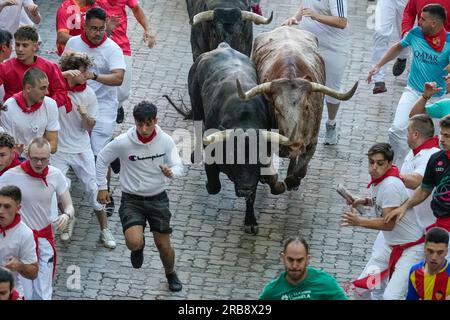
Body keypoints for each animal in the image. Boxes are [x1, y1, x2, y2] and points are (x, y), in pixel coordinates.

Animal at [188, 42, 286, 234]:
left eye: (258, 159)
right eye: (234, 156)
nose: (245, 188)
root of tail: (223, 46)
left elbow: (252, 196)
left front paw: (250, 221)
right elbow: (214, 186)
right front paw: (208, 184)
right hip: (195, 105)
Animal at [237, 26, 356, 190]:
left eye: (306, 106)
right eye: (276, 108)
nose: (294, 145)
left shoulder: (312, 142)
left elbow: (299, 171)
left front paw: (292, 181)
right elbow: (270, 174)